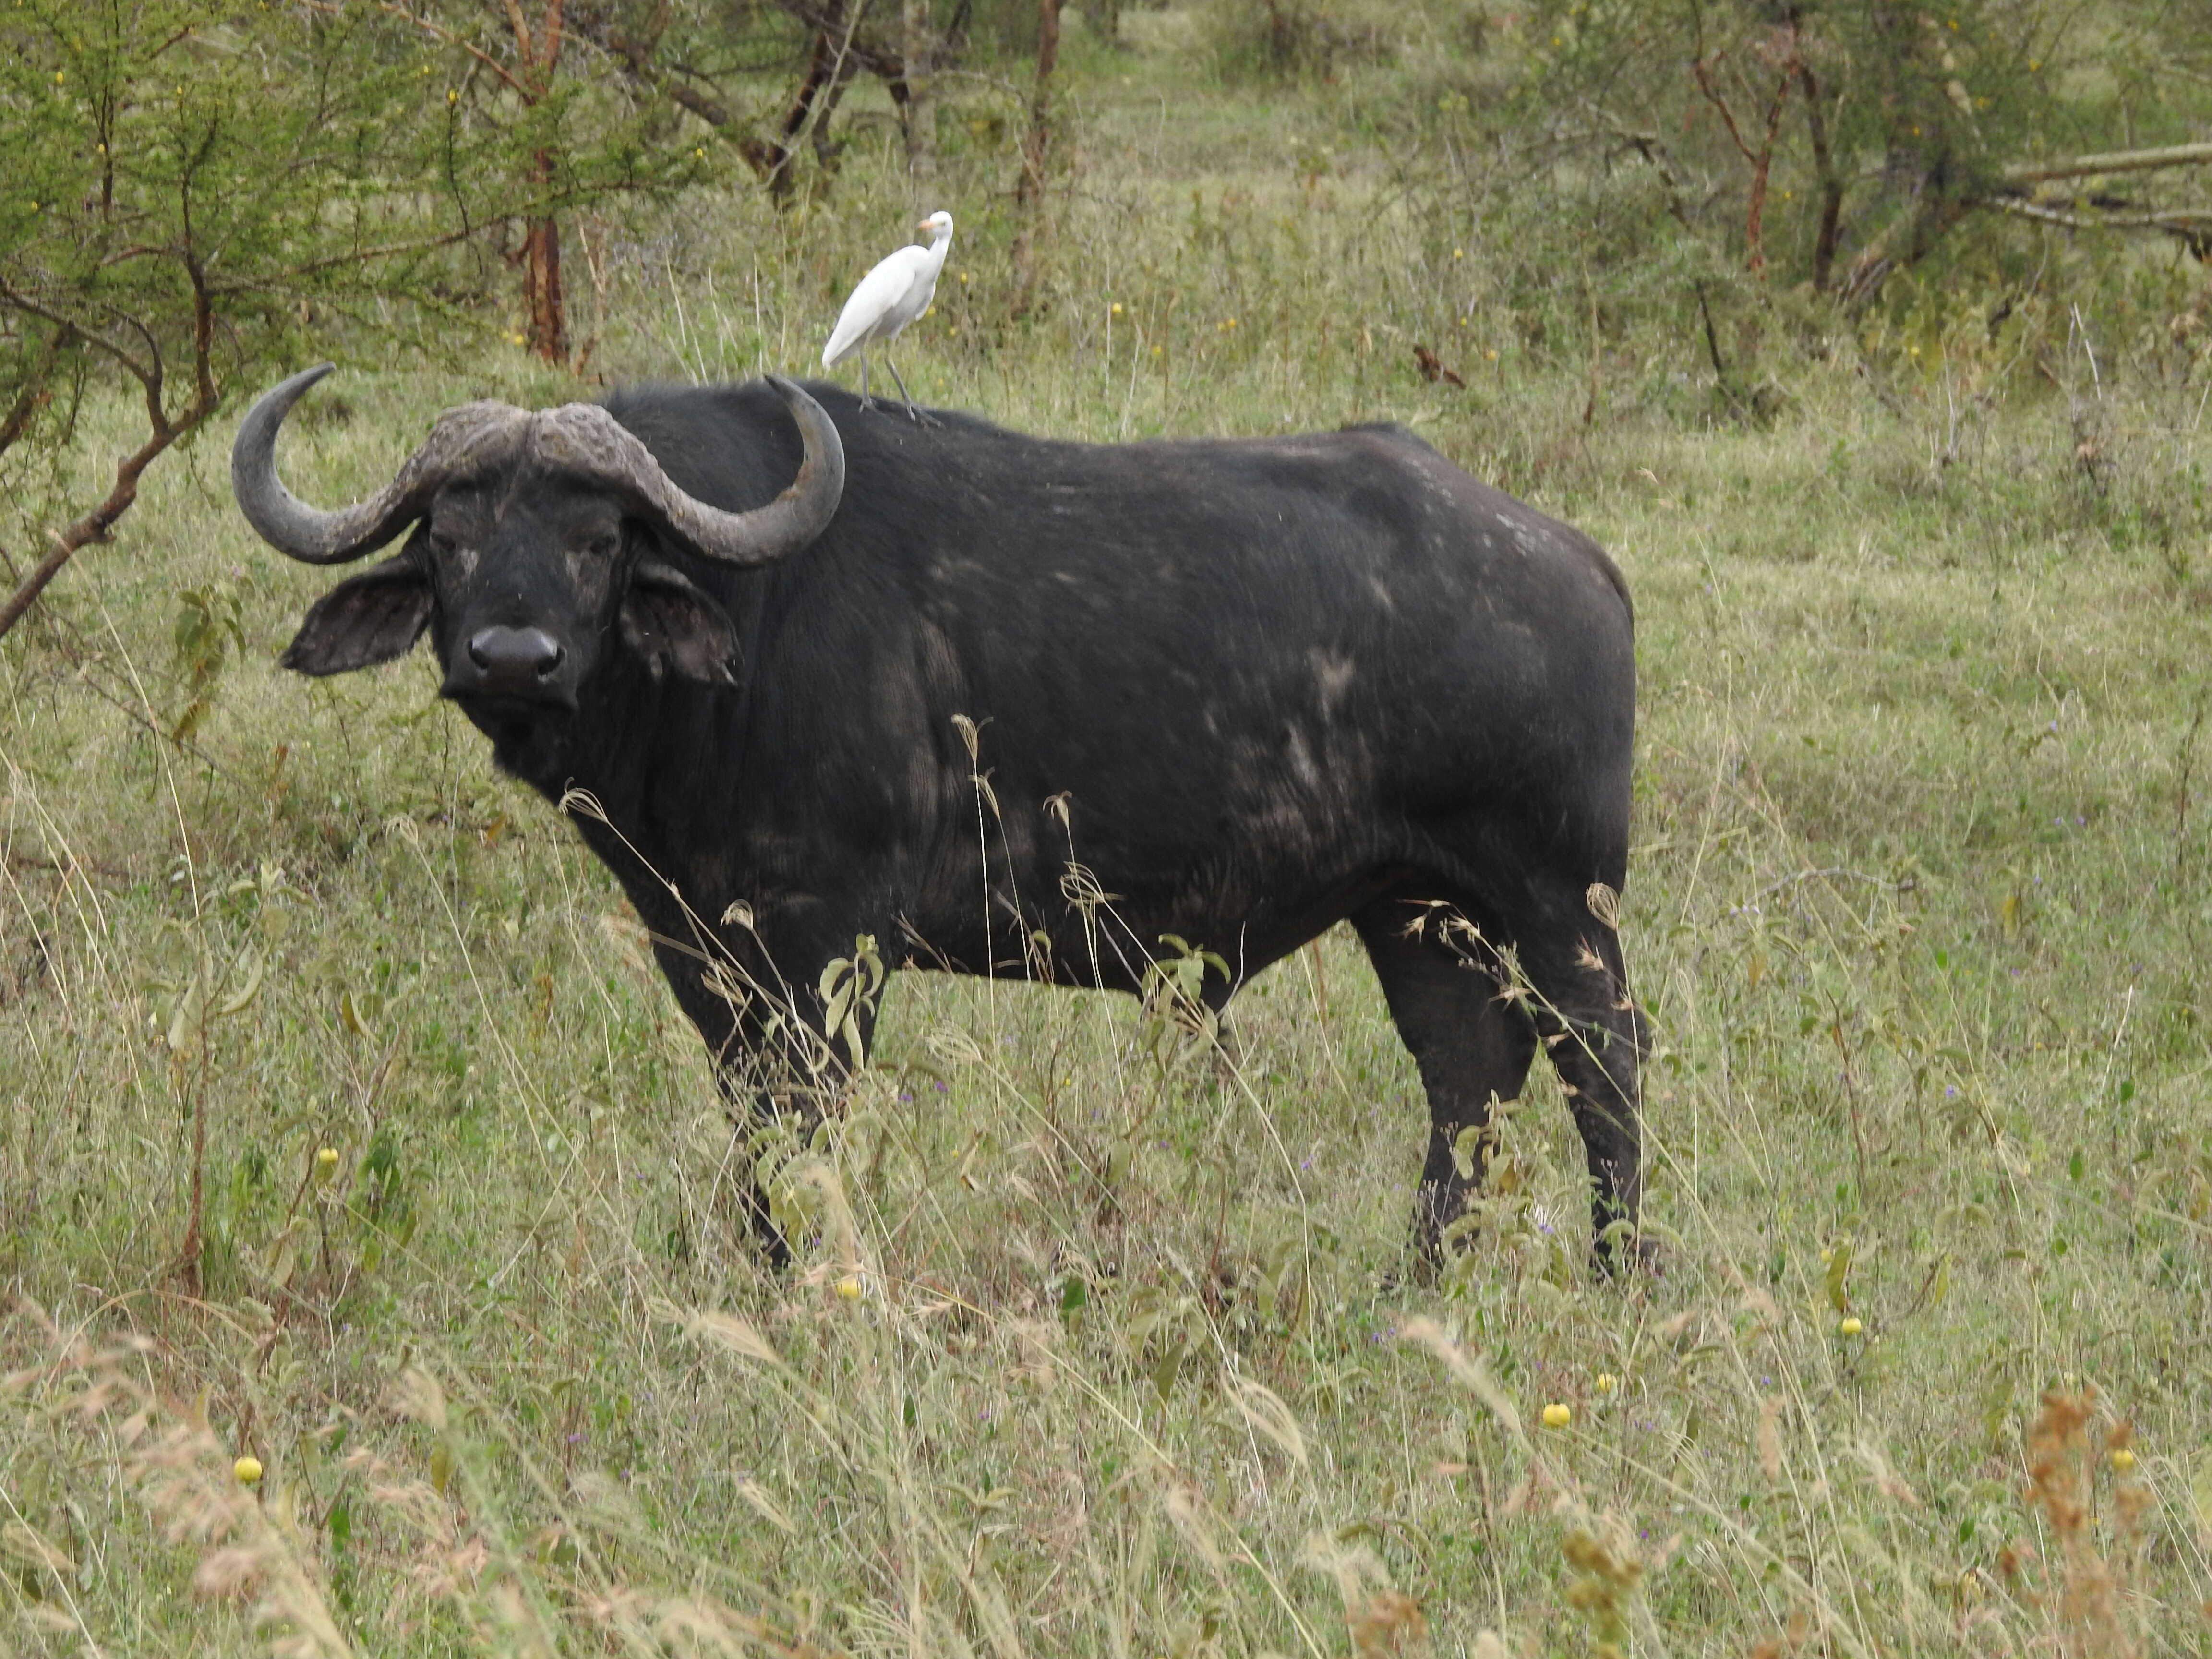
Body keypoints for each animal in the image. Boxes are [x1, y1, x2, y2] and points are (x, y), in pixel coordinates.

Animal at [233, 367, 1646, 1274]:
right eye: (452, 534)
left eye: (595, 540)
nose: (512, 658)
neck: (747, 635)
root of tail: (1573, 560)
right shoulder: (707, 954)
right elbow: (751, 1128)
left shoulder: (829, 950)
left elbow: (802, 1128)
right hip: (1415, 908)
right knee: (1468, 1075)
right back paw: (1417, 1289)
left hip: (1553, 900)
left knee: (1603, 1062)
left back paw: (1621, 1274)